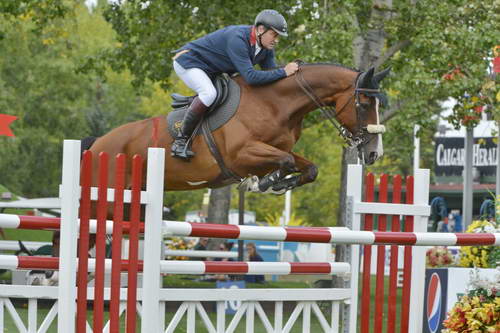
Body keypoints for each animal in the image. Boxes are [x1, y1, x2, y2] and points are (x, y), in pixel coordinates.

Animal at [86, 61, 390, 195]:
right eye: (365, 103)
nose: (374, 153)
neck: (276, 104)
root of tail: (97, 143)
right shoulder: (242, 155)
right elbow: (286, 161)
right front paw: (263, 182)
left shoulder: (274, 148)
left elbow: (307, 167)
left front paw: (281, 184)